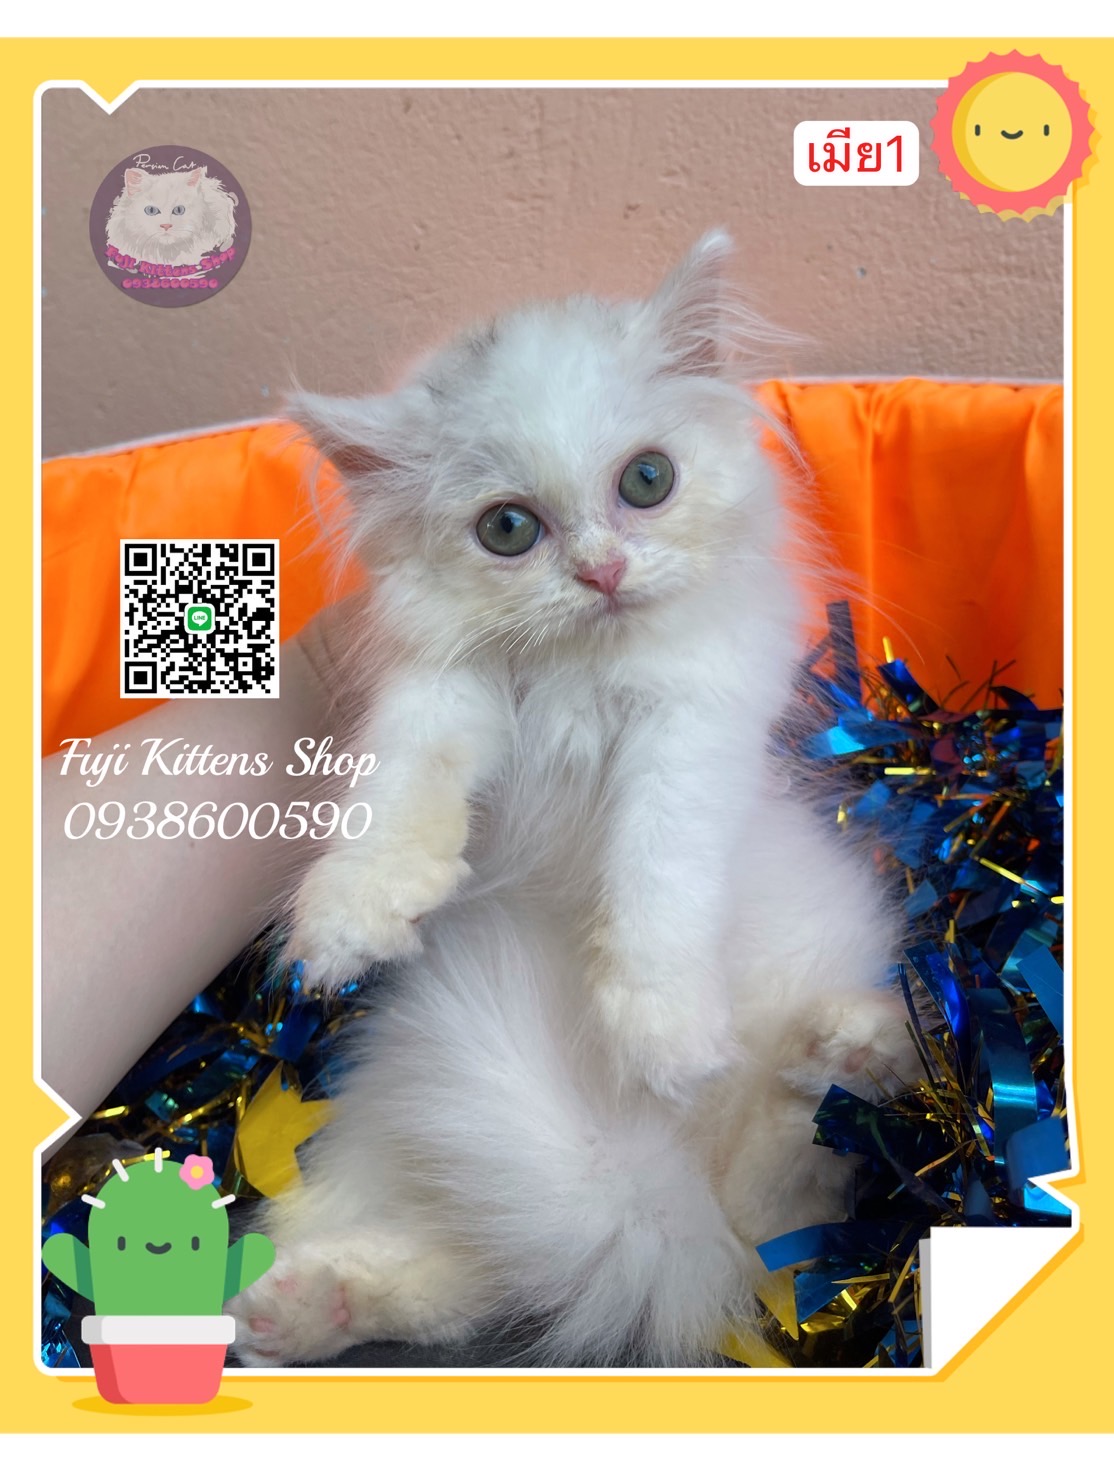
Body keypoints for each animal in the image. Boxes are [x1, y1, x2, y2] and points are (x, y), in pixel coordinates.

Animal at [229, 231, 916, 1367]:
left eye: (648, 480)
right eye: (508, 529)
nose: (601, 571)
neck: (579, 676)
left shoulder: (690, 728)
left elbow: (656, 871)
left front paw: (659, 1027)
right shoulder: (443, 695)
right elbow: (397, 796)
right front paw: (351, 922)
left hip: (786, 1170)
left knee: (778, 1191)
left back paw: (847, 1048)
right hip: (412, 1156)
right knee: (477, 1276)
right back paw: (295, 1310)